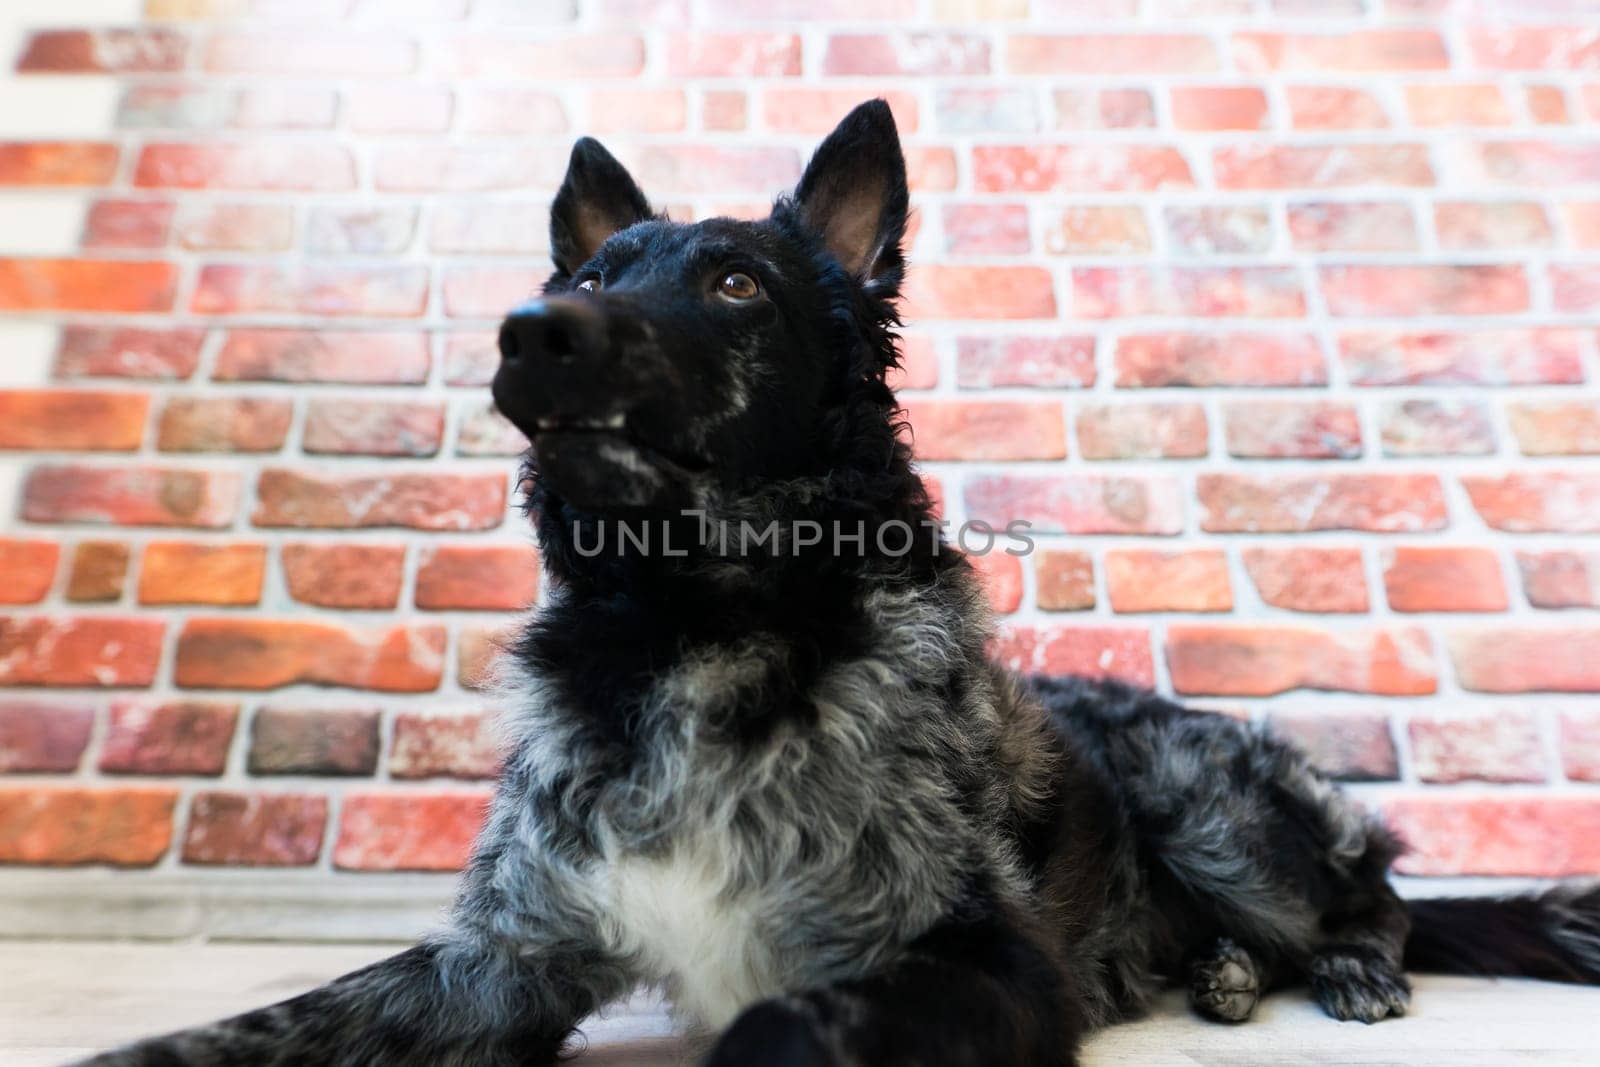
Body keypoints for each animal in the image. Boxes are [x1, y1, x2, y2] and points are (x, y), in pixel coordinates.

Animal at [81, 102, 1600, 1067]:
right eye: (586, 271)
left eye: (739, 285)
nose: (529, 331)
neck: (695, 619)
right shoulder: (503, 956)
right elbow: (259, 1022)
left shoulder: (984, 961)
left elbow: (782, 1024)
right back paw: (1221, 969)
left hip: (1209, 800)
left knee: (1377, 896)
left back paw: (1335, 964)